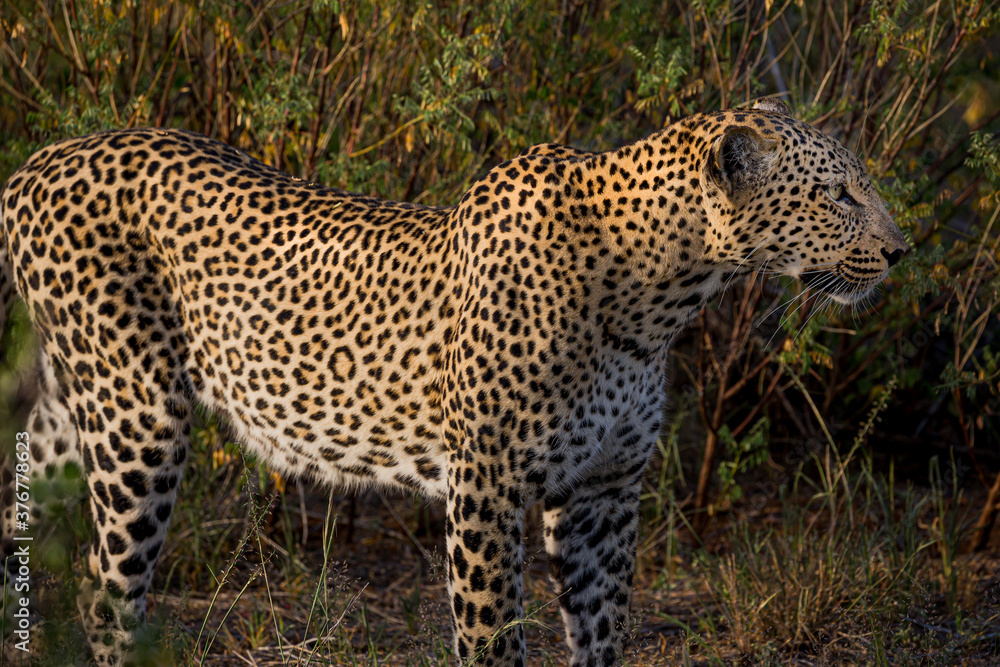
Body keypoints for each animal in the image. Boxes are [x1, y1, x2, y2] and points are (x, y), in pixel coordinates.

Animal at [0, 98, 906, 666]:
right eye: (838, 193)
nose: (902, 251)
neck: (664, 295)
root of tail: (37, 161)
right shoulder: (488, 487)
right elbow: (493, 637)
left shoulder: (605, 490)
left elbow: (604, 627)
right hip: (139, 419)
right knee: (105, 587)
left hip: (75, 408)